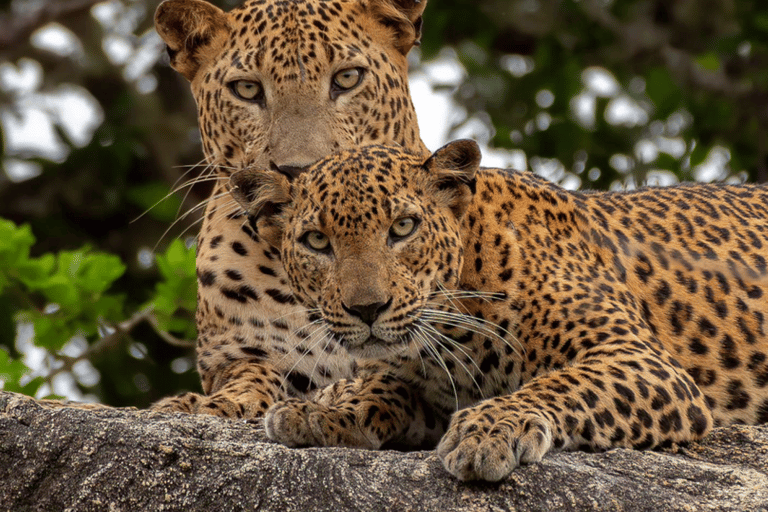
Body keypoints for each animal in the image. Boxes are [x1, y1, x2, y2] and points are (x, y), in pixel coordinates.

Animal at [151, 0, 430, 418]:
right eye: (247, 88)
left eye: (347, 78)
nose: (299, 170)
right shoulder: (235, 355)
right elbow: (250, 373)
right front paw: (220, 402)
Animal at [227, 139, 768, 481]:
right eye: (317, 241)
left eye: (403, 228)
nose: (368, 309)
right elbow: (383, 388)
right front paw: (326, 410)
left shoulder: (638, 358)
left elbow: (561, 383)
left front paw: (487, 432)